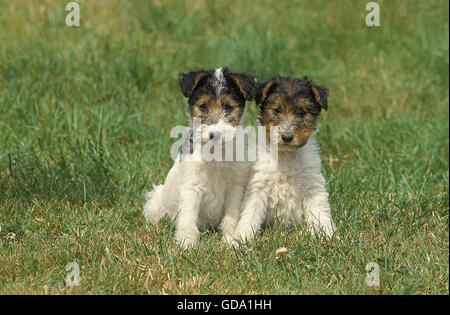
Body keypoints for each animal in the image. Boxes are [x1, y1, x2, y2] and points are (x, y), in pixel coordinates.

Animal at [144, 67, 256, 249]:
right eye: (203, 106)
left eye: (228, 106)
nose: (214, 134)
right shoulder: (192, 186)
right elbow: (188, 217)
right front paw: (187, 241)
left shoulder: (235, 187)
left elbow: (231, 216)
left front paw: (231, 239)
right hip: (157, 199)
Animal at [234, 76, 336, 244]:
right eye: (276, 110)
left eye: (301, 112)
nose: (287, 137)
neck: (286, 155)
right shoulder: (258, 187)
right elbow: (250, 214)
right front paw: (241, 238)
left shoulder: (313, 186)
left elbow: (320, 211)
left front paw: (326, 233)